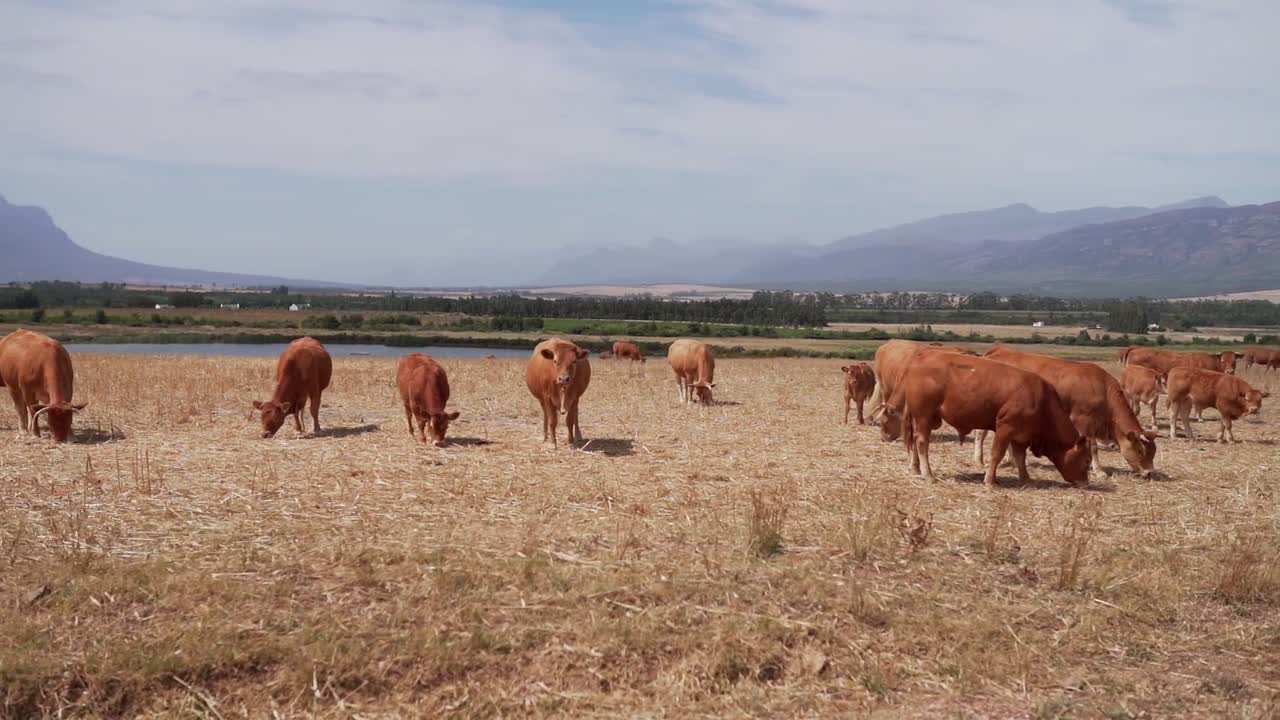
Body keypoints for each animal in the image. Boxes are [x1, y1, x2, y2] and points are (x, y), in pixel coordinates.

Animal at [882, 352, 1091, 487]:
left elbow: (1020, 457)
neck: (1041, 399)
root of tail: (917, 360)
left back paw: (916, 468)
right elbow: (997, 454)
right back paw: (929, 475)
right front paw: (990, 480)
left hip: (921, 418)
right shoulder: (1006, 427)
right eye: (1087, 460)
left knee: (915, 441)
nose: (1086, 483)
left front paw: (1026, 478)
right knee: (922, 442)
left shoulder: (1020, 435)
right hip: (924, 416)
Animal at [980, 344, 1157, 478]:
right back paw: (980, 460)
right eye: (1140, 450)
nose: (1149, 473)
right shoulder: (1083, 421)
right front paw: (1099, 471)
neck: (1102, 388)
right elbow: (1093, 447)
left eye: (1153, 453)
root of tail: (998, 351)